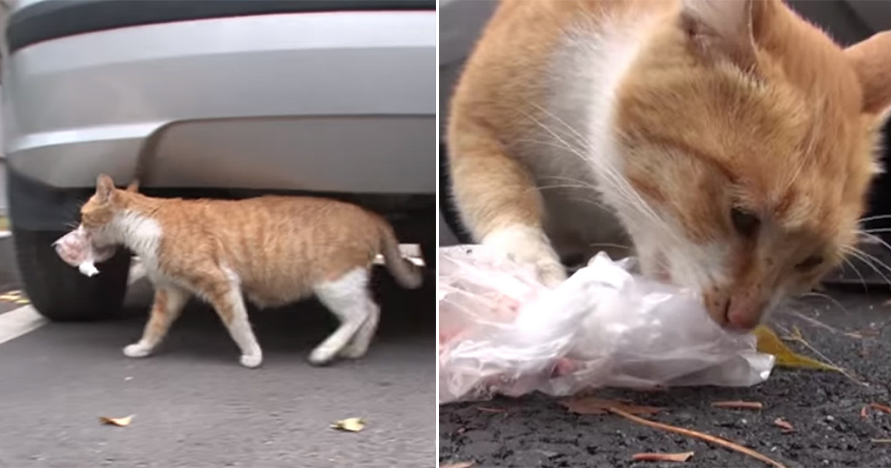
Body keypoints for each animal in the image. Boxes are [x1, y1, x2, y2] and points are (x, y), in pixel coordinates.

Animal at [79, 174, 422, 368]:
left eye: (83, 216)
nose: (77, 229)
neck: (145, 222)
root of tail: (372, 214)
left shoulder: (221, 283)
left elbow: (238, 325)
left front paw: (253, 355)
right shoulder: (171, 291)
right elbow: (155, 326)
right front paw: (142, 348)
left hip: (333, 284)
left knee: (358, 313)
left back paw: (325, 352)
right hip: (346, 284)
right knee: (372, 309)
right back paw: (356, 349)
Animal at [450, 0, 891, 330]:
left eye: (811, 261)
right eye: (742, 217)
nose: (740, 321)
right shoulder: (475, 125)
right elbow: (498, 189)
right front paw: (528, 262)